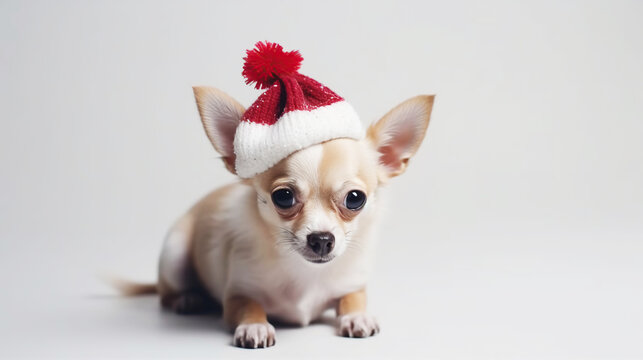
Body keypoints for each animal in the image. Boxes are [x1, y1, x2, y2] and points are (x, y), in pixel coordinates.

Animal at [119, 42, 436, 348]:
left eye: (355, 199)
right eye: (283, 197)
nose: (322, 239)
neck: (304, 273)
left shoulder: (352, 285)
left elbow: (353, 299)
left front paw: (357, 317)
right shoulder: (236, 294)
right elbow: (249, 306)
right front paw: (255, 326)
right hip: (174, 253)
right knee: (165, 293)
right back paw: (188, 298)